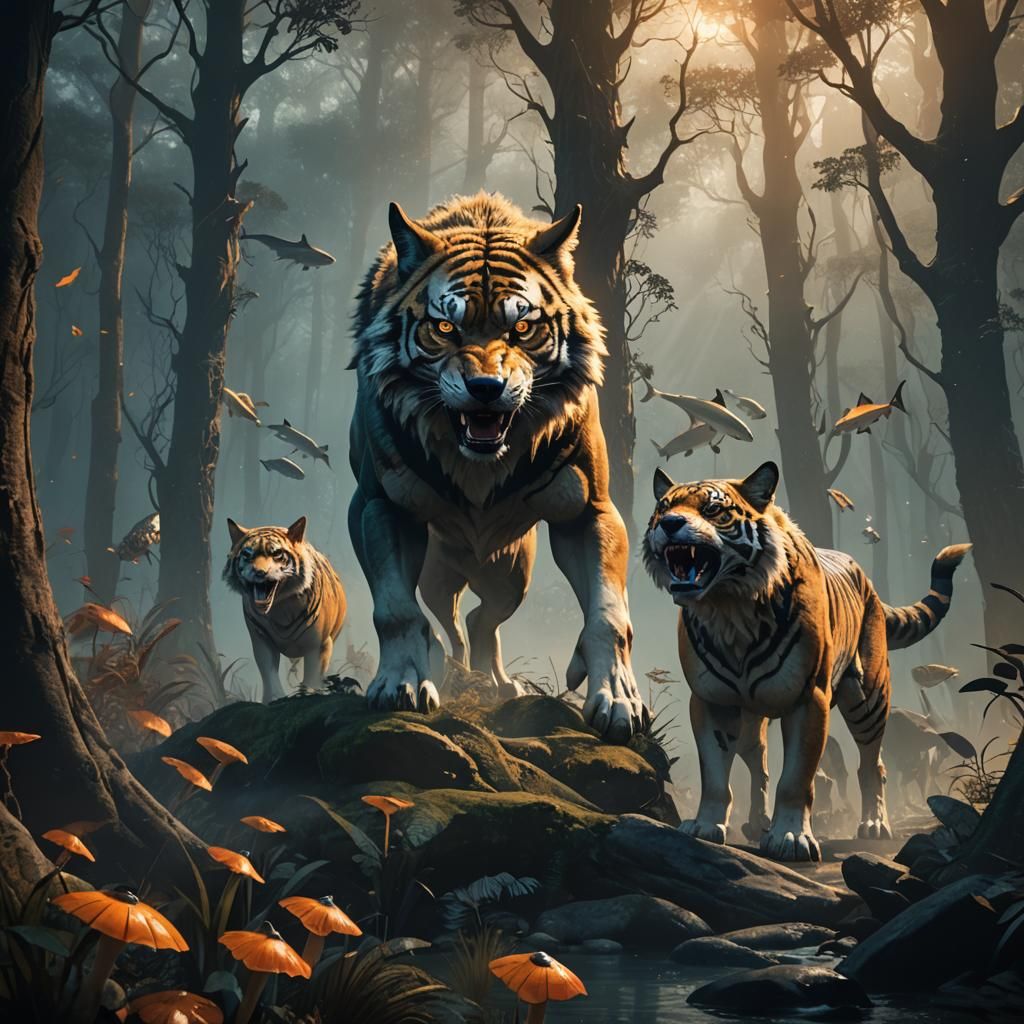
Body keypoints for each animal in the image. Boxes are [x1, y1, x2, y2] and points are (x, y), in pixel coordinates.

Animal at [223, 517, 346, 703]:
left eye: (276, 554)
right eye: (247, 554)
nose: (259, 572)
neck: (281, 608)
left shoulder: (319, 644)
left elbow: (312, 676)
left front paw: (307, 694)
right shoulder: (262, 639)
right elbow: (268, 673)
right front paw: (273, 698)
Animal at [348, 192, 645, 741]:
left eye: (522, 327)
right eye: (445, 327)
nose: (486, 388)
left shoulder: (589, 512)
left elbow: (608, 614)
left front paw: (617, 698)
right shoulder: (379, 506)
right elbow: (396, 609)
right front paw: (401, 683)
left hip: (513, 574)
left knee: (483, 620)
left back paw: (498, 684)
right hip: (440, 574)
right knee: (451, 623)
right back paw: (448, 667)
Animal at [643, 460, 970, 861]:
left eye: (712, 509)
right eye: (664, 507)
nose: (670, 523)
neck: (731, 609)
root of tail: (869, 583)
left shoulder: (809, 699)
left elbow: (797, 778)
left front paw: (791, 837)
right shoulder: (710, 700)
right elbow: (716, 775)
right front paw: (706, 827)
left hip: (869, 700)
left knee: (872, 765)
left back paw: (874, 825)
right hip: (751, 715)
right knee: (759, 763)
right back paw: (757, 822)